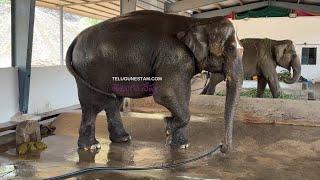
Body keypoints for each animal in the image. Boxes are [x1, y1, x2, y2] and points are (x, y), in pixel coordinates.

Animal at [66, 9, 244, 153]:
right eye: (230, 49)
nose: (221, 146)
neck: (198, 22)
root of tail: (76, 39)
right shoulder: (174, 57)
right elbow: (165, 93)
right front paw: (168, 126)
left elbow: (184, 95)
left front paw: (181, 146)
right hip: (89, 70)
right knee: (93, 106)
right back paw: (92, 147)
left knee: (112, 102)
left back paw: (123, 139)